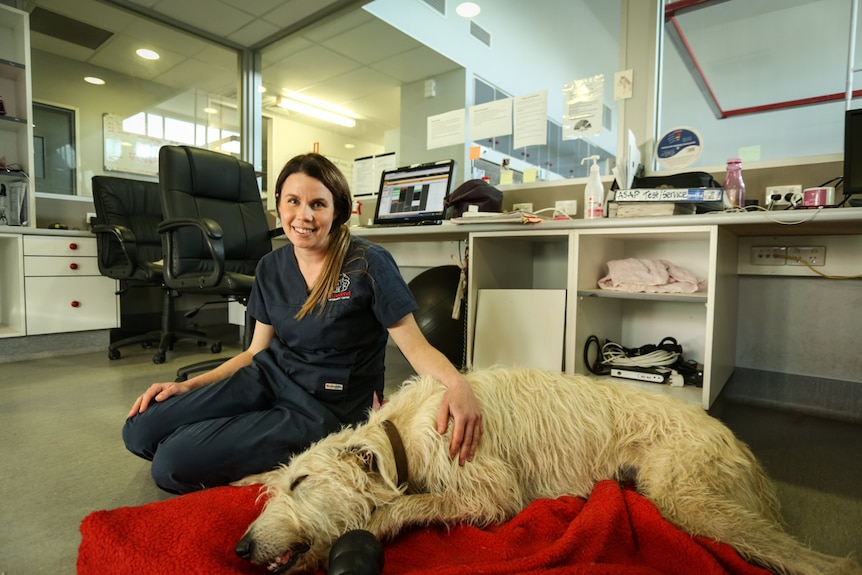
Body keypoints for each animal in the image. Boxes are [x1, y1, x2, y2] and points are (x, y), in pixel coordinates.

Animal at [233, 368, 860, 575]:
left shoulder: (492, 491)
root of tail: (741, 446)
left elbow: (408, 504)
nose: (240, 548)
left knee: (815, 561)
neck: (401, 434)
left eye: (302, 483)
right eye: (280, 485)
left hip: (686, 492)